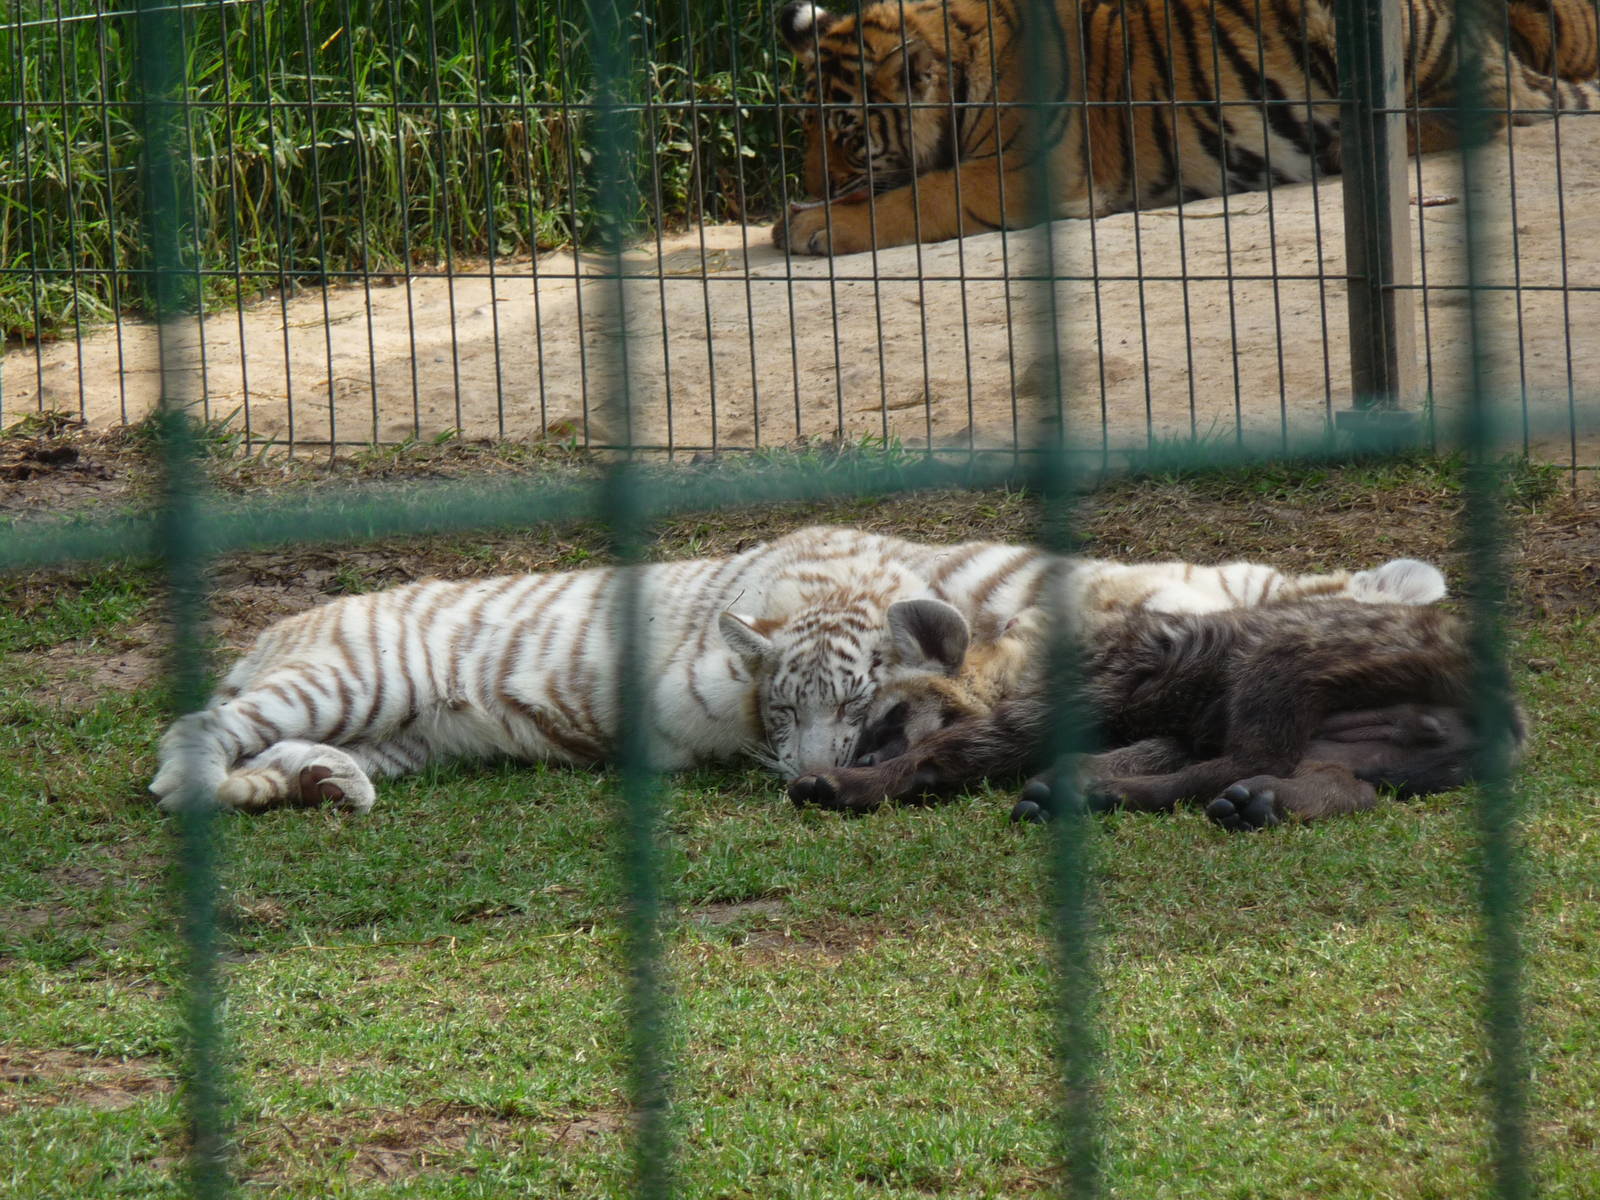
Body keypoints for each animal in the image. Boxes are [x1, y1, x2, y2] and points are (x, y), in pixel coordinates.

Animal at [773, 0, 1600, 254]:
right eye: (801, 132)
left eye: (844, 135)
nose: (805, 182)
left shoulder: (1026, 174)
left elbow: (917, 198)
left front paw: (810, 225)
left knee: (1488, 109)